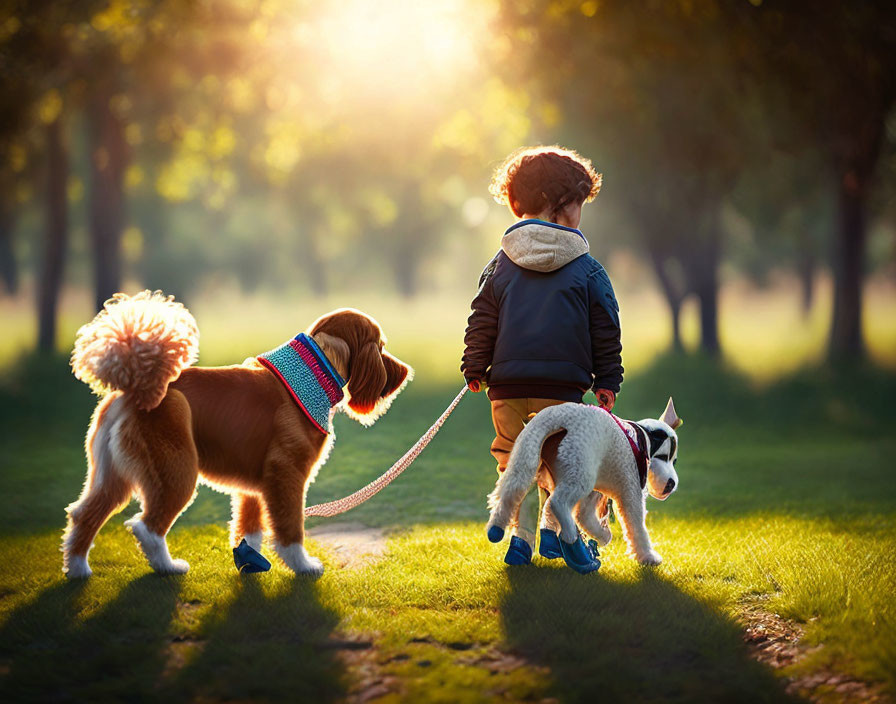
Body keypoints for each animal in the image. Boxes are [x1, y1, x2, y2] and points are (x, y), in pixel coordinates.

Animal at [62, 292, 410, 576]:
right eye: (381, 346)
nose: (406, 371)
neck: (313, 372)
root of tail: (137, 392)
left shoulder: (253, 487)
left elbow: (249, 530)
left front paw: (250, 561)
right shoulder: (287, 475)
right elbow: (290, 527)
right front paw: (302, 565)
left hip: (112, 477)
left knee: (83, 516)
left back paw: (78, 571)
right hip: (176, 473)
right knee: (146, 527)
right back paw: (167, 567)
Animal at [486, 398, 684, 568]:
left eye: (674, 461)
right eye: (662, 457)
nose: (671, 484)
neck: (644, 439)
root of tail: (558, 417)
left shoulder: (594, 493)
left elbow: (585, 517)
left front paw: (603, 536)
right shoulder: (631, 491)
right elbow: (636, 526)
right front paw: (647, 557)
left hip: (526, 455)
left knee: (513, 493)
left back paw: (499, 529)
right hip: (579, 473)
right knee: (557, 502)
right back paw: (571, 541)